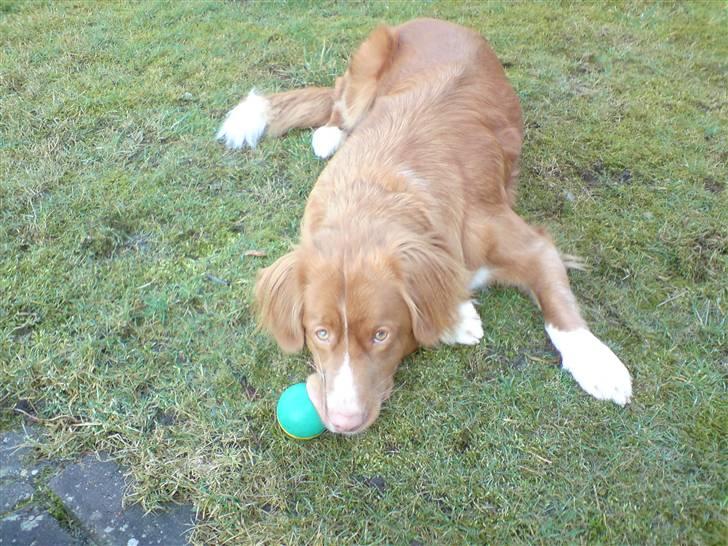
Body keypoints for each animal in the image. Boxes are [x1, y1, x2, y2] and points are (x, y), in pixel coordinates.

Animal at [215, 18, 632, 434]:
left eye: (381, 335)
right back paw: (330, 133)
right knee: (338, 100)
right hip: (366, 64)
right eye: (321, 333)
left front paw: (598, 364)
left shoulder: (531, 246)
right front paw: (458, 317)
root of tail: (437, 20)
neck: (374, 201)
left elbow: (560, 310)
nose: (345, 422)